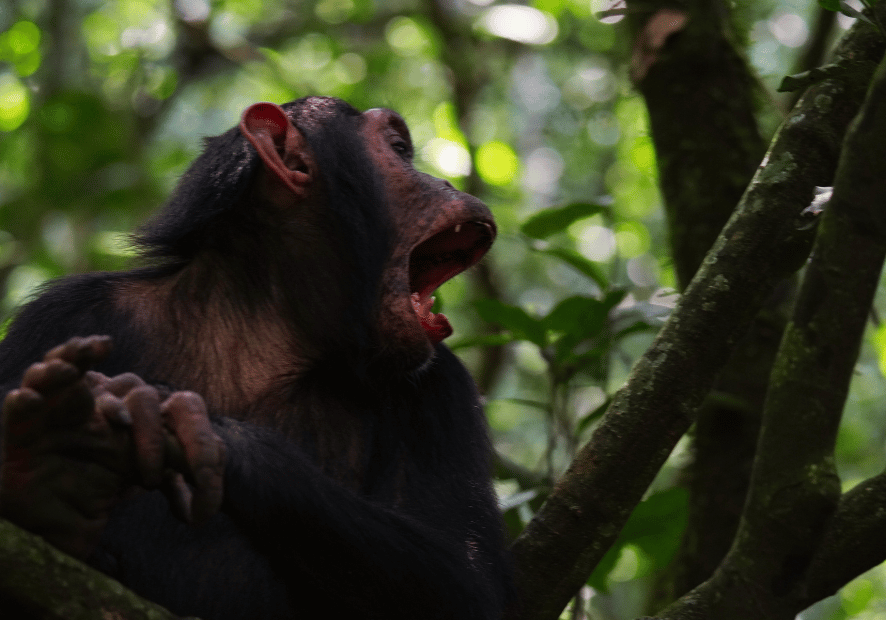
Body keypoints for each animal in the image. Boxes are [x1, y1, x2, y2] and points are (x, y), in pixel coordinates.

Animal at [0, 97, 512, 620]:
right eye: (399, 150)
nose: (446, 182)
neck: (260, 334)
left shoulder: (441, 388)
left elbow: (466, 578)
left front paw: (197, 426)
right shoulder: (61, 318)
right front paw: (39, 462)